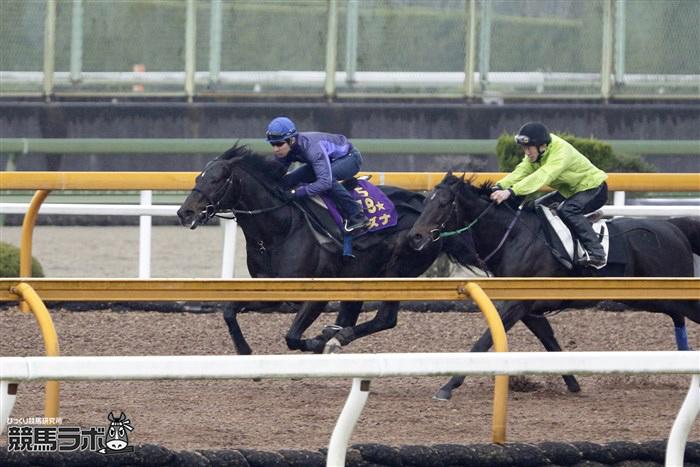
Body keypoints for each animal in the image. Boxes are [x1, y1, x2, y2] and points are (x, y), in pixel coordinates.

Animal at [178, 146, 478, 354]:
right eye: (198, 177)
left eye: (218, 179)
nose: (185, 212)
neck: (280, 229)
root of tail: (426, 216)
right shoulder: (271, 291)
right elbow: (229, 310)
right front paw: (244, 349)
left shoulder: (316, 293)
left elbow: (292, 337)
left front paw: (317, 341)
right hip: (362, 276)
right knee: (355, 315)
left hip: (398, 272)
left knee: (385, 318)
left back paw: (334, 337)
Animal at [408, 174, 700, 400]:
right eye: (425, 200)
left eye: (443, 203)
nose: (415, 236)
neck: (514, 238)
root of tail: (674, 227)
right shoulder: (528, 308)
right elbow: (549, 340)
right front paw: (573, 383)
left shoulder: (516, 304)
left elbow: (484, 340)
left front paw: (448, 386)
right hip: (650, 298)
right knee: (677, 316)